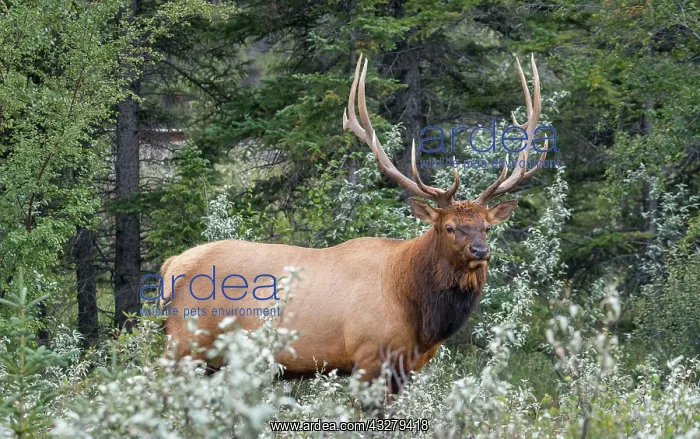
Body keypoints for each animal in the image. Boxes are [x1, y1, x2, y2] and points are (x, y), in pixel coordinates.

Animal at [158, 53, 547, 402]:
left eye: (486, 226)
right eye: (449, 227)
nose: (480, 251)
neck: (419, 312)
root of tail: (171, 266)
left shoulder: (407, 367)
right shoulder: (368, 355)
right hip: (186, 343)